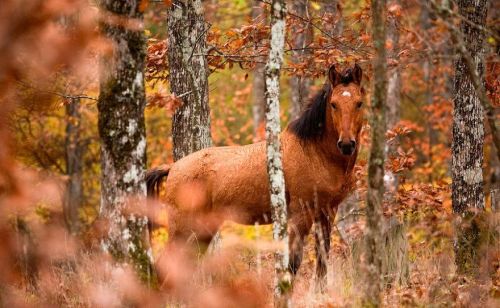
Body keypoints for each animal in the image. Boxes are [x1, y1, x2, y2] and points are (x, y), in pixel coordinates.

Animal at [146, 63, 366, 288]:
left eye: (359, 103)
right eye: (333, 104)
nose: (346, 144)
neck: (314, 152)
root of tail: (173, 168)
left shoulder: (327, 212)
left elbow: (322, 263)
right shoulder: (301, 214)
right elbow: (293, 263)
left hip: (203, 230)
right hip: (181, 229)